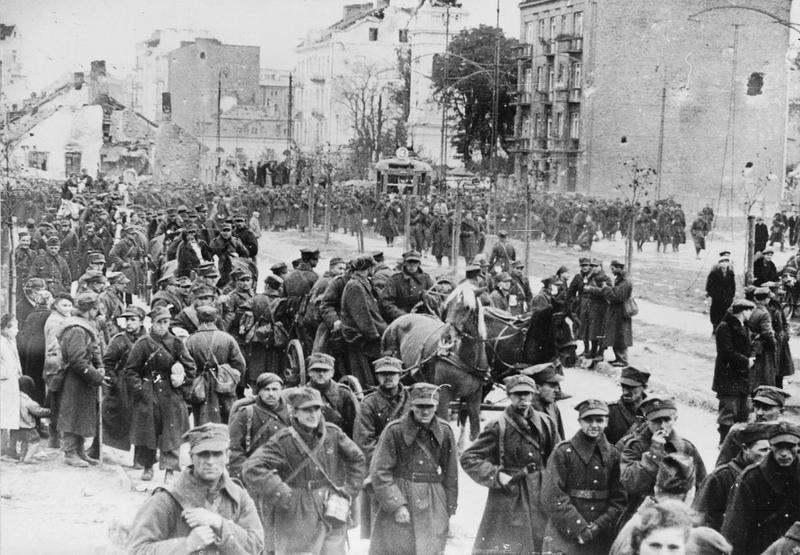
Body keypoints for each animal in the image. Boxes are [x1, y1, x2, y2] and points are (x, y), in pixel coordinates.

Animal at [382, 284, 488, 440]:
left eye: (467, 307)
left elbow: (475, 431)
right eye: (448, 306)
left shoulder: (475, 396)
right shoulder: (443, 394)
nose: (446, 336)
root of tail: (396, 322)